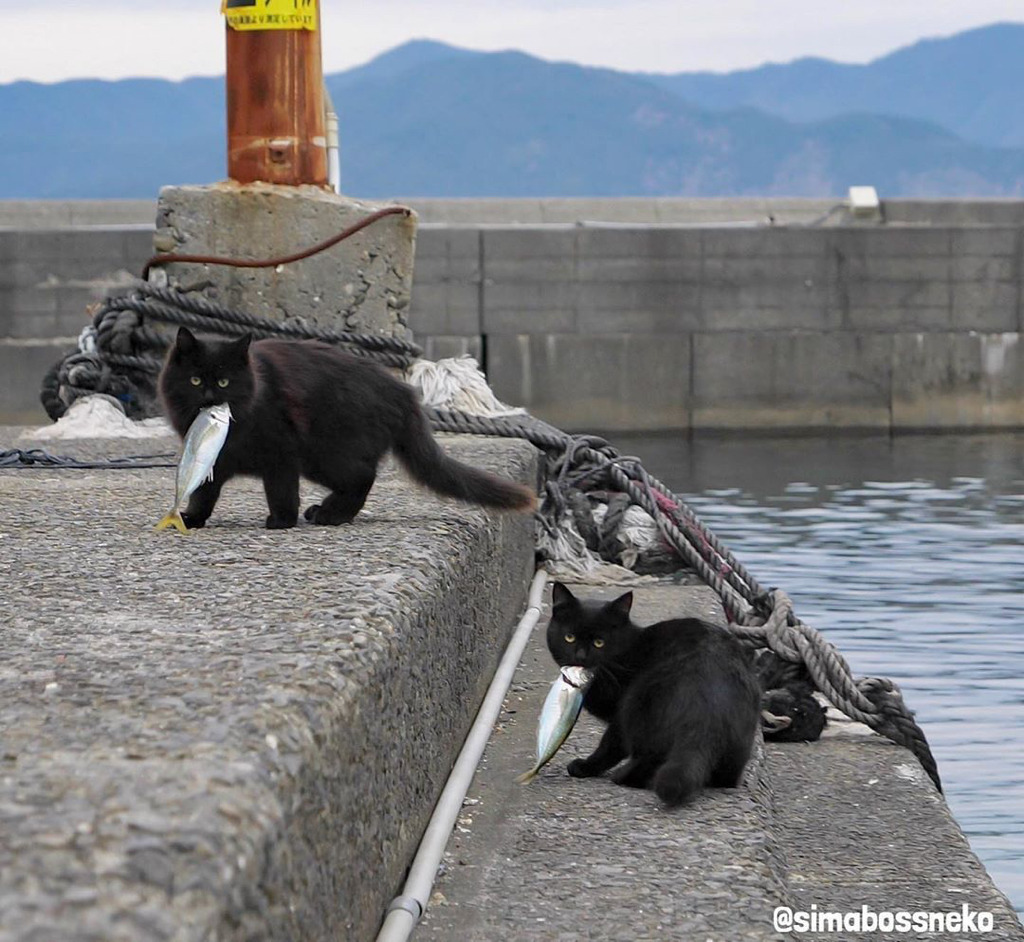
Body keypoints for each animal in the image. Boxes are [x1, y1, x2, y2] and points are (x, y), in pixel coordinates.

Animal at [157, 329, 536, 528]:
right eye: (194, 380)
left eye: (224, 381)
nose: (209, 398)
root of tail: (403, 393)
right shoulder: (211, 458)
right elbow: (203, 491)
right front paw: (191, 518)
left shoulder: (281, 453)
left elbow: (281, 490)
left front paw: (282, 520)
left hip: (324, 453)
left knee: (363, 477)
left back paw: (329, 514)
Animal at [548, 585, 765, 806]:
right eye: (569, 637)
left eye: (599, 642)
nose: (580, 657)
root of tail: (706, 709)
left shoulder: (619, 716)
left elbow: (610, 744)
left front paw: (586, 766)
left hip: (638, 701)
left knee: (650, 755)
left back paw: (623, 776)